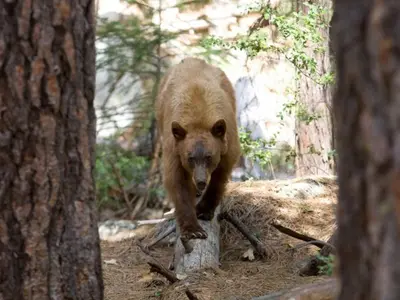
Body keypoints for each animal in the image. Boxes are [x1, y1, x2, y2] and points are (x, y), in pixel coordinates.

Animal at [156, 57, 241, 243]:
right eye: (190, 158)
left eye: (209, 156)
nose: (201, 181)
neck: (199, 120)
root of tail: (193, 59)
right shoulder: (174, 146)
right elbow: (177, 180)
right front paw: (193, 230)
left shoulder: (227, 141)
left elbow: (220, 175)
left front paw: (203, 210)